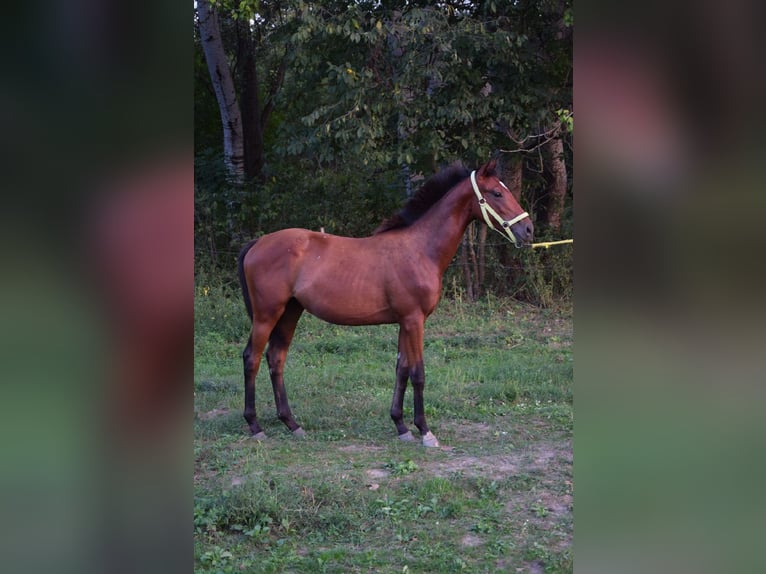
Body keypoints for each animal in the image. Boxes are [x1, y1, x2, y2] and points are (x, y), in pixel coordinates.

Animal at [238, 159, 536, 450]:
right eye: (496, 193)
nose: (528, 229)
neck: (419, 248)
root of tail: (258, 242)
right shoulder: (414, 320)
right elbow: (418, 373)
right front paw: (425, 432)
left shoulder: (405, 321)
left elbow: (401, 370)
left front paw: (401, 427)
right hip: (267, 315)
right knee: (252, 358)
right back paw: (255, 426)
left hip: (290, 312)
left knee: (276, 358)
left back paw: (292, 424)